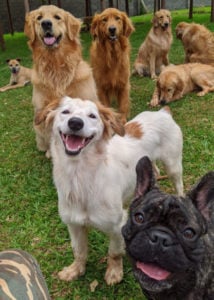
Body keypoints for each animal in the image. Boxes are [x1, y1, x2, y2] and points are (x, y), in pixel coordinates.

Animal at [49, 96, 184, 286]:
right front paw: (75, 270)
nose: (75, 123)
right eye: (65, 112)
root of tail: (162, 112)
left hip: (173, 165)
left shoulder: (117, 225)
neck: (80, 178)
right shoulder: (74, 224)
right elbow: (79, 251)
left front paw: (114, 273)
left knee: (179, 186)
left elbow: (114, 252)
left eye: (92, 116)